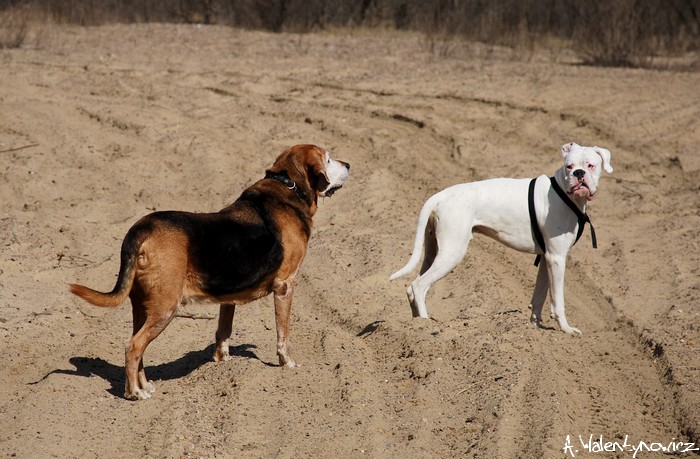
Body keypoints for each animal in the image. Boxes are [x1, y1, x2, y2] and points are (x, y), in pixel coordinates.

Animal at [71, 146, 350, 400]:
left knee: (138, 347)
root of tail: (143, 227)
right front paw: (288, 365)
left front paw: (222, 364)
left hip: (142, 307)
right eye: (327, 159)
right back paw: (135, 393)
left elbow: (223, 332)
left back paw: (145, 385)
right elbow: (283, 334)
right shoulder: (285, 286)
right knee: (133, 346)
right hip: (165, 308)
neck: (288, 185)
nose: (348, 164)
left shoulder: (228, 298)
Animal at [388, 141, 612, 334]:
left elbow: (539, 296)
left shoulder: (546, 259)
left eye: (590, 165)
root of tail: (442, 194)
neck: (564, 193)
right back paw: (426, 326)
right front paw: (566, 329)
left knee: (413, 288)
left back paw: (416, 324)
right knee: (419, 286)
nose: (579, 173)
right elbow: (558, 300)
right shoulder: (557, 259)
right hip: (452, 253)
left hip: (433, 252)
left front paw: (536, 328)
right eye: (569, 166)